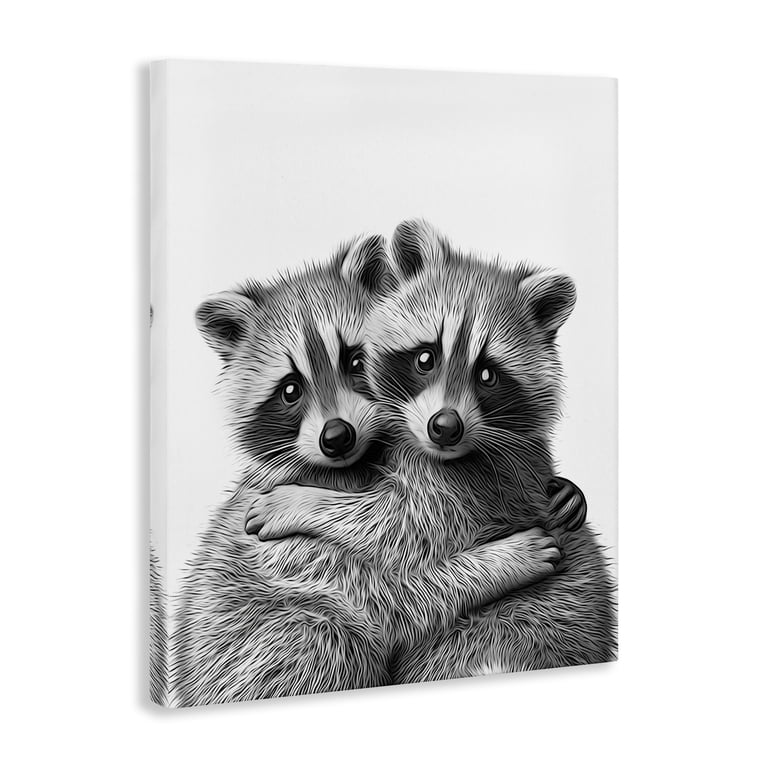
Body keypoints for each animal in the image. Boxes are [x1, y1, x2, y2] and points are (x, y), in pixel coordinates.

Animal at [246, 220, 616, 683]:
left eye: (488, 374)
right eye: (426, 358)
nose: (445, 427)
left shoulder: (473, 485)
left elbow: (397, 525)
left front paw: (299, 502)